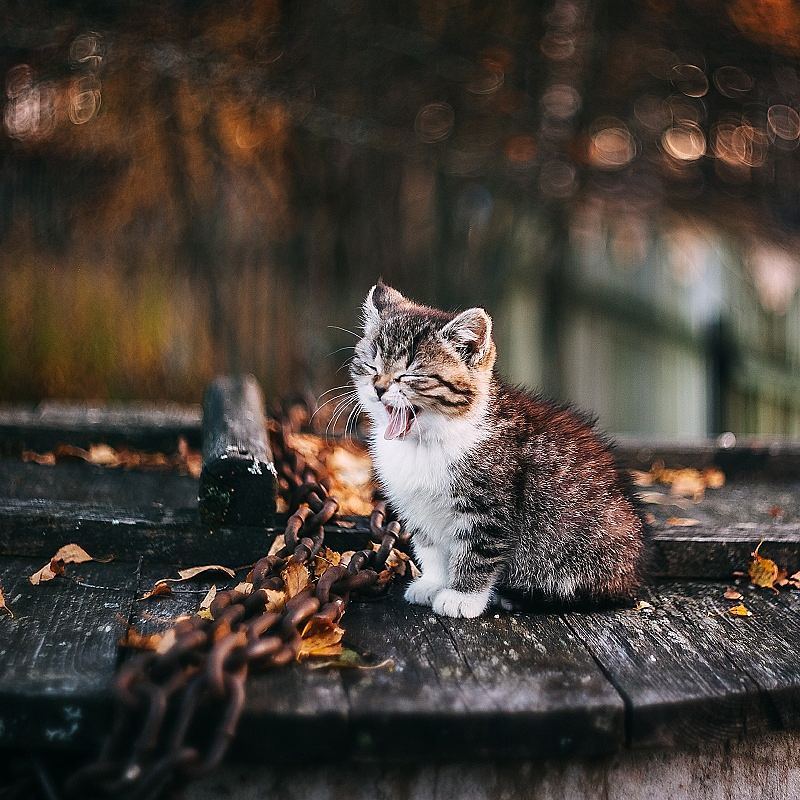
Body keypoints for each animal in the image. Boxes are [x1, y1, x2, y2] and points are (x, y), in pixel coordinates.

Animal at [350, 282, 644, 620]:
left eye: (410, 373)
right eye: (372, 365)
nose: (379, 387)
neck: (426, 442)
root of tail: (633, 577)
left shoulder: (489, 505)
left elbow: (478, 550)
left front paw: (462, 596)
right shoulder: (416, 506)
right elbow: (430, 545)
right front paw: (433, 582)